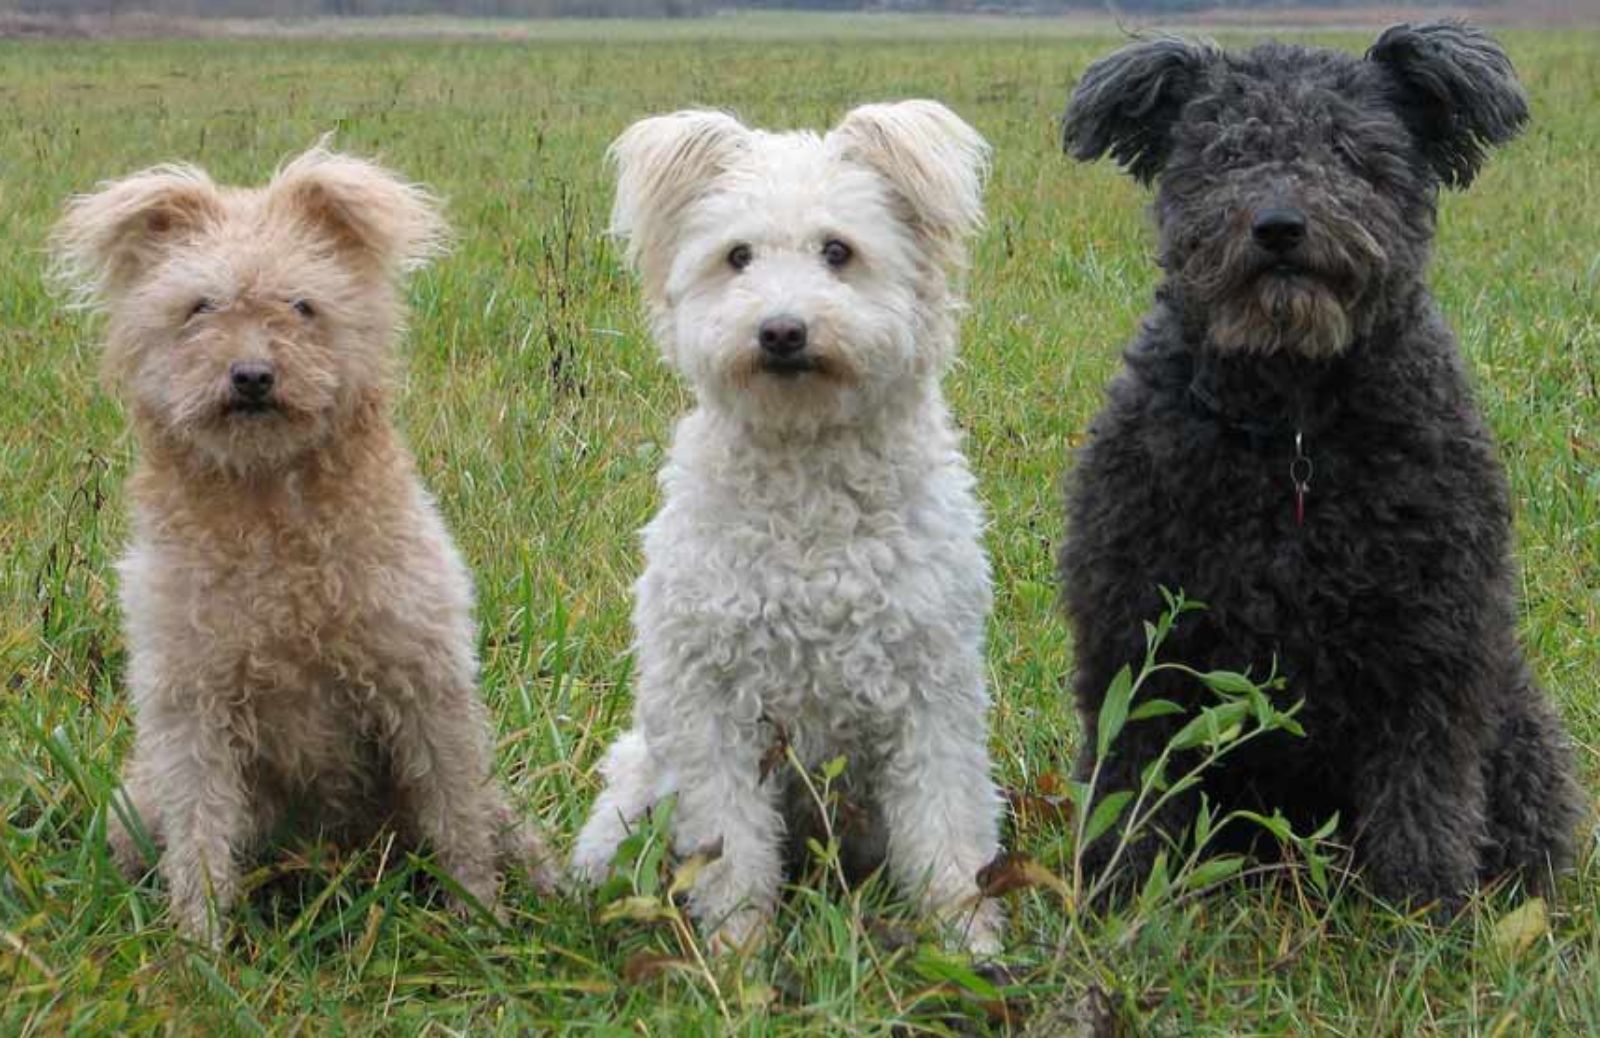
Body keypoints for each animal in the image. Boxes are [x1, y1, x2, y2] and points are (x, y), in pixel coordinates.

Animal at [572, 101, 998, 953]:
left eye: (839, 251)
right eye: (737, 256)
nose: (781, 331)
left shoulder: (932, 691)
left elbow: (946, 828)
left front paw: (970, 941)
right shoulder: (712, 707)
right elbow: (732, 851)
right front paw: (738, 955)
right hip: (641, 779)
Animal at [1056, 22, 1580, 908]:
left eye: (1351, 151)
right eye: (1226, 153)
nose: (1279, 225)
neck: (1293, 429)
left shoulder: (1431, 644)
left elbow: (1424, 787)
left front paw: (1424, 909)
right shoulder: (1137, 628)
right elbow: (1133, 771)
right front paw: (1123, 888)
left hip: (1518, 722)